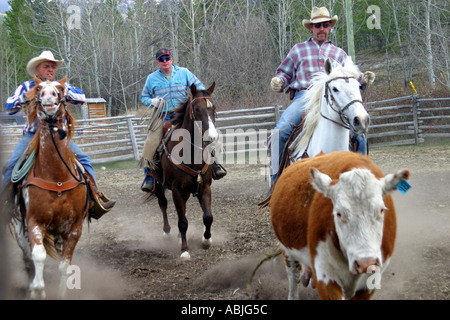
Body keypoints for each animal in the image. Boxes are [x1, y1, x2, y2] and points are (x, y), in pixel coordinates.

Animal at [10, 76, 89, 298]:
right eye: (38, 88)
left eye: (61, 88)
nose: (48, 96)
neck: (57, 176)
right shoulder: (34, 222)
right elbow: (38, 255)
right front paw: (38, 290)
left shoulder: (73, 228)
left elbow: (65, 266)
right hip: (20, 229)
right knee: (28, 258)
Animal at [151, 82, 220, 260]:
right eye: (196, 109)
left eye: (214, 107)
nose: (212, 137)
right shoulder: (176, 190)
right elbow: (182, 222)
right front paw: (184, 250)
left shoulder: (205, 187)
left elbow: (208, 217)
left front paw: (206, 240)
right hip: (158, 185)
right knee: (163, 204)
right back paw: (167, 233)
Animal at [270, 151, 412, 298]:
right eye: (338, 213)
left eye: (381, 210)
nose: (365, 263)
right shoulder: (325, 277)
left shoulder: (370, 282)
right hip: (287, 251)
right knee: (293, 276)